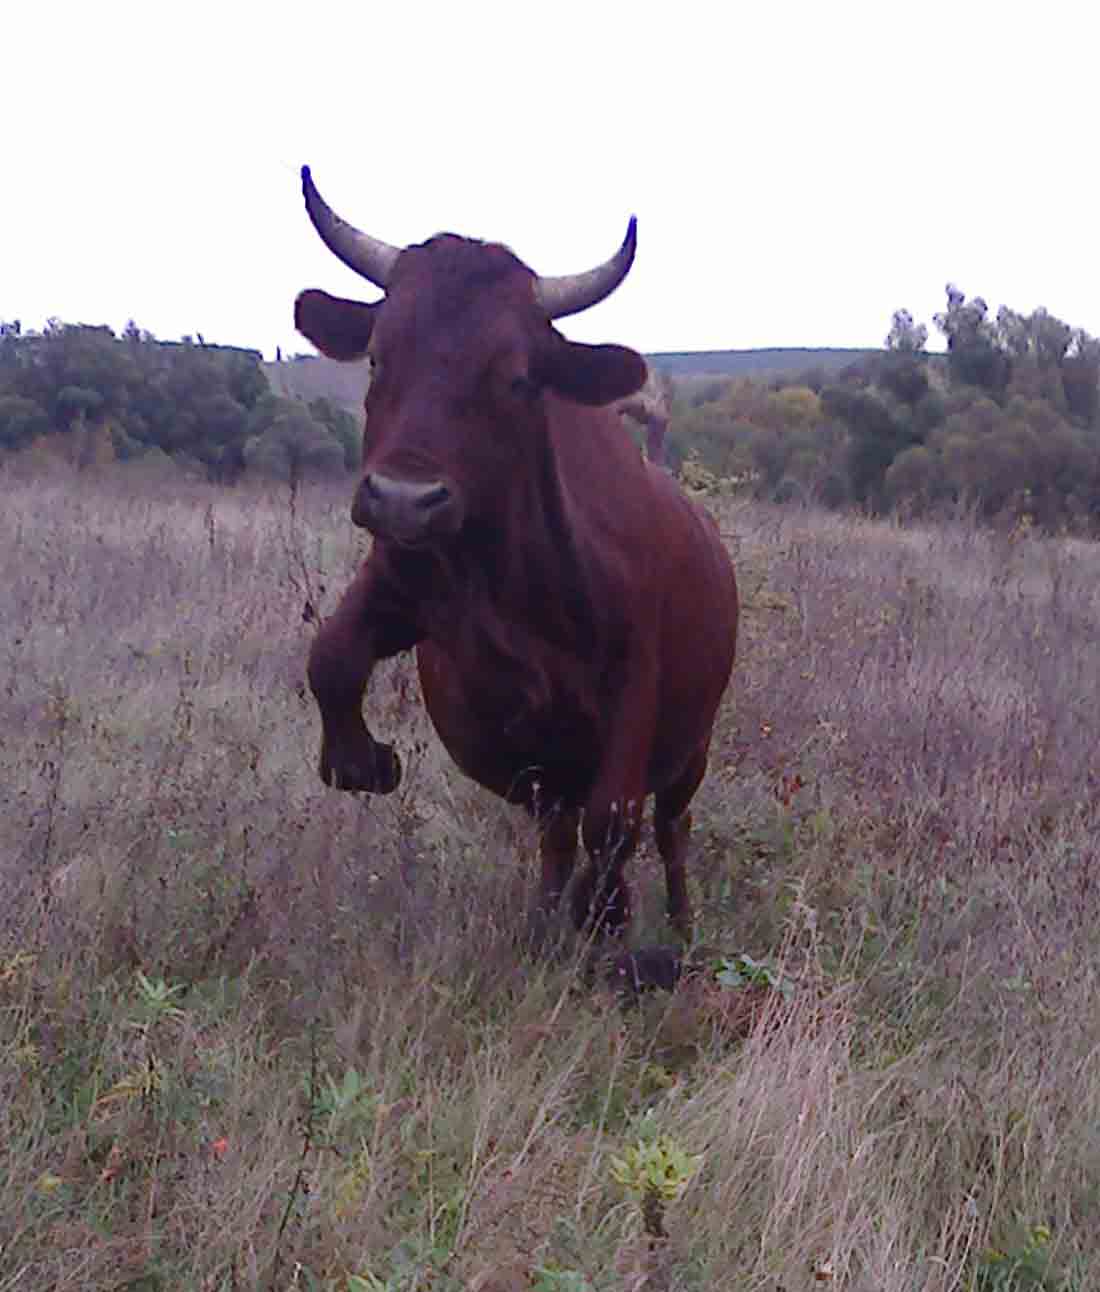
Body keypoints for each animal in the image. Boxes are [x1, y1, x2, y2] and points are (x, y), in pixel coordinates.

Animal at [297, 169, 734, 940]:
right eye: (377, 355)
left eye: (518, 378)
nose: (404, 498)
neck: (507, 582)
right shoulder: (401, 578)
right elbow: (332, 655)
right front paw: (362, 760)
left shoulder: (636, 682)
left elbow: (614, 821)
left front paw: (613, 924)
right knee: (559, 833)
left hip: (692, 747)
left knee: (667, 828)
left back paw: (675, 928)